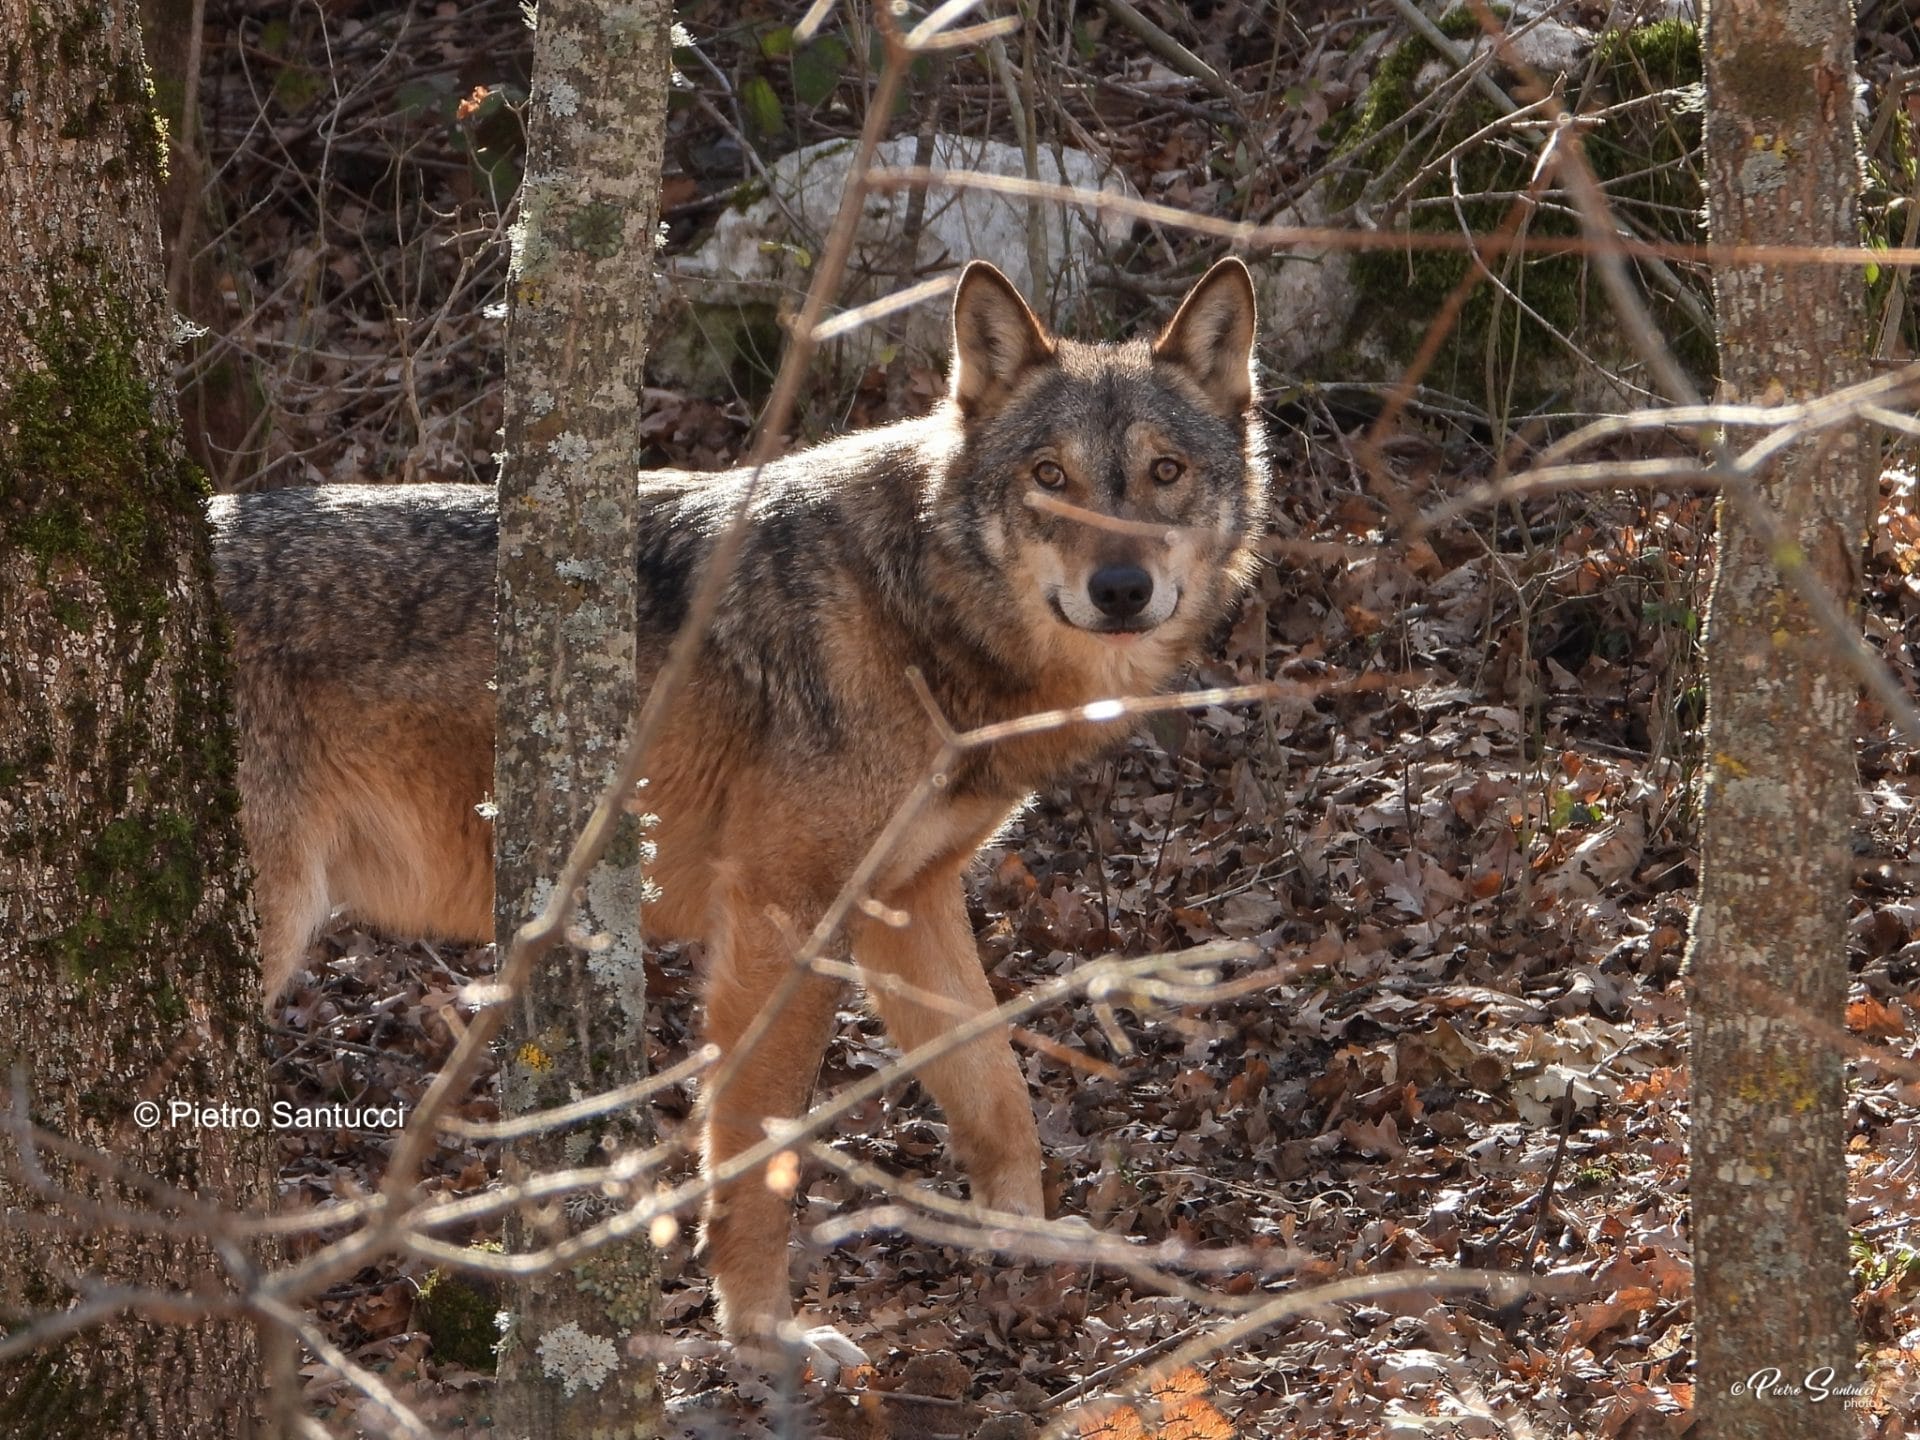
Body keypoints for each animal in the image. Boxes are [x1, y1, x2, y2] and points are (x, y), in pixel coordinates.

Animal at [210, 263, 1267, 1367]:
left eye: (1163, 472)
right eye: (1050, 477)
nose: (1121, 588)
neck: (911, 615)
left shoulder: (908, 905)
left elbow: (997, 1096)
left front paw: (1030, 1248)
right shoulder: (780, 918)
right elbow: (758, 1154)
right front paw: (765, 1335)